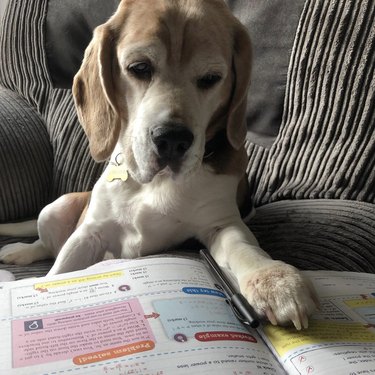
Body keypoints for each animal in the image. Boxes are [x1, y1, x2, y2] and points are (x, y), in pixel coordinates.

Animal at [0, 0, 320, 328]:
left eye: (210, 78)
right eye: (139, 68)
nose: (172, 140)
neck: (154, 183)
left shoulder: (221, 222)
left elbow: (241, 246)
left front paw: (274, 280)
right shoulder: (90, 232)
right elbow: (59, 272)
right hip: (57, 207)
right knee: (48, 245)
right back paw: (20, 252)